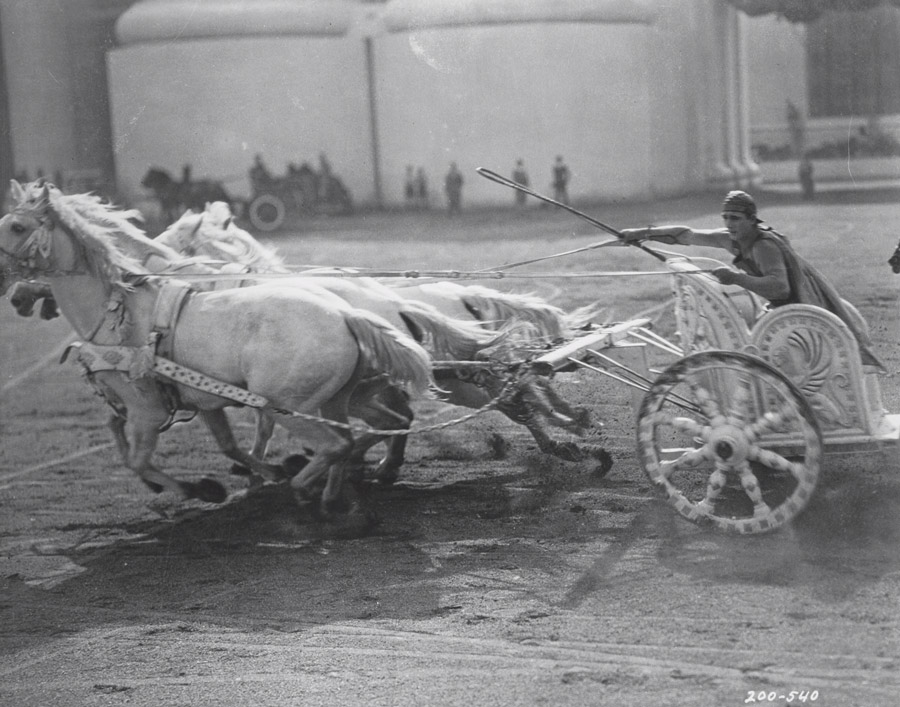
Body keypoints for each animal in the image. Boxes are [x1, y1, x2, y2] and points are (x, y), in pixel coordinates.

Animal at [0, 183, 436, 516]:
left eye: (16, 226)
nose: (17, 297)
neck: (120, 312)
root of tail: (348, 314)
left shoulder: (146, 410)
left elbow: (138, 459)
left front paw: (205, 489)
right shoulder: (202, 401)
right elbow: (218, 444)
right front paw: (257, 474)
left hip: (288, 402)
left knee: (347, 440)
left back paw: (310, 486)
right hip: (338, 398)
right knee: (368, 431)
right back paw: (341, 487)